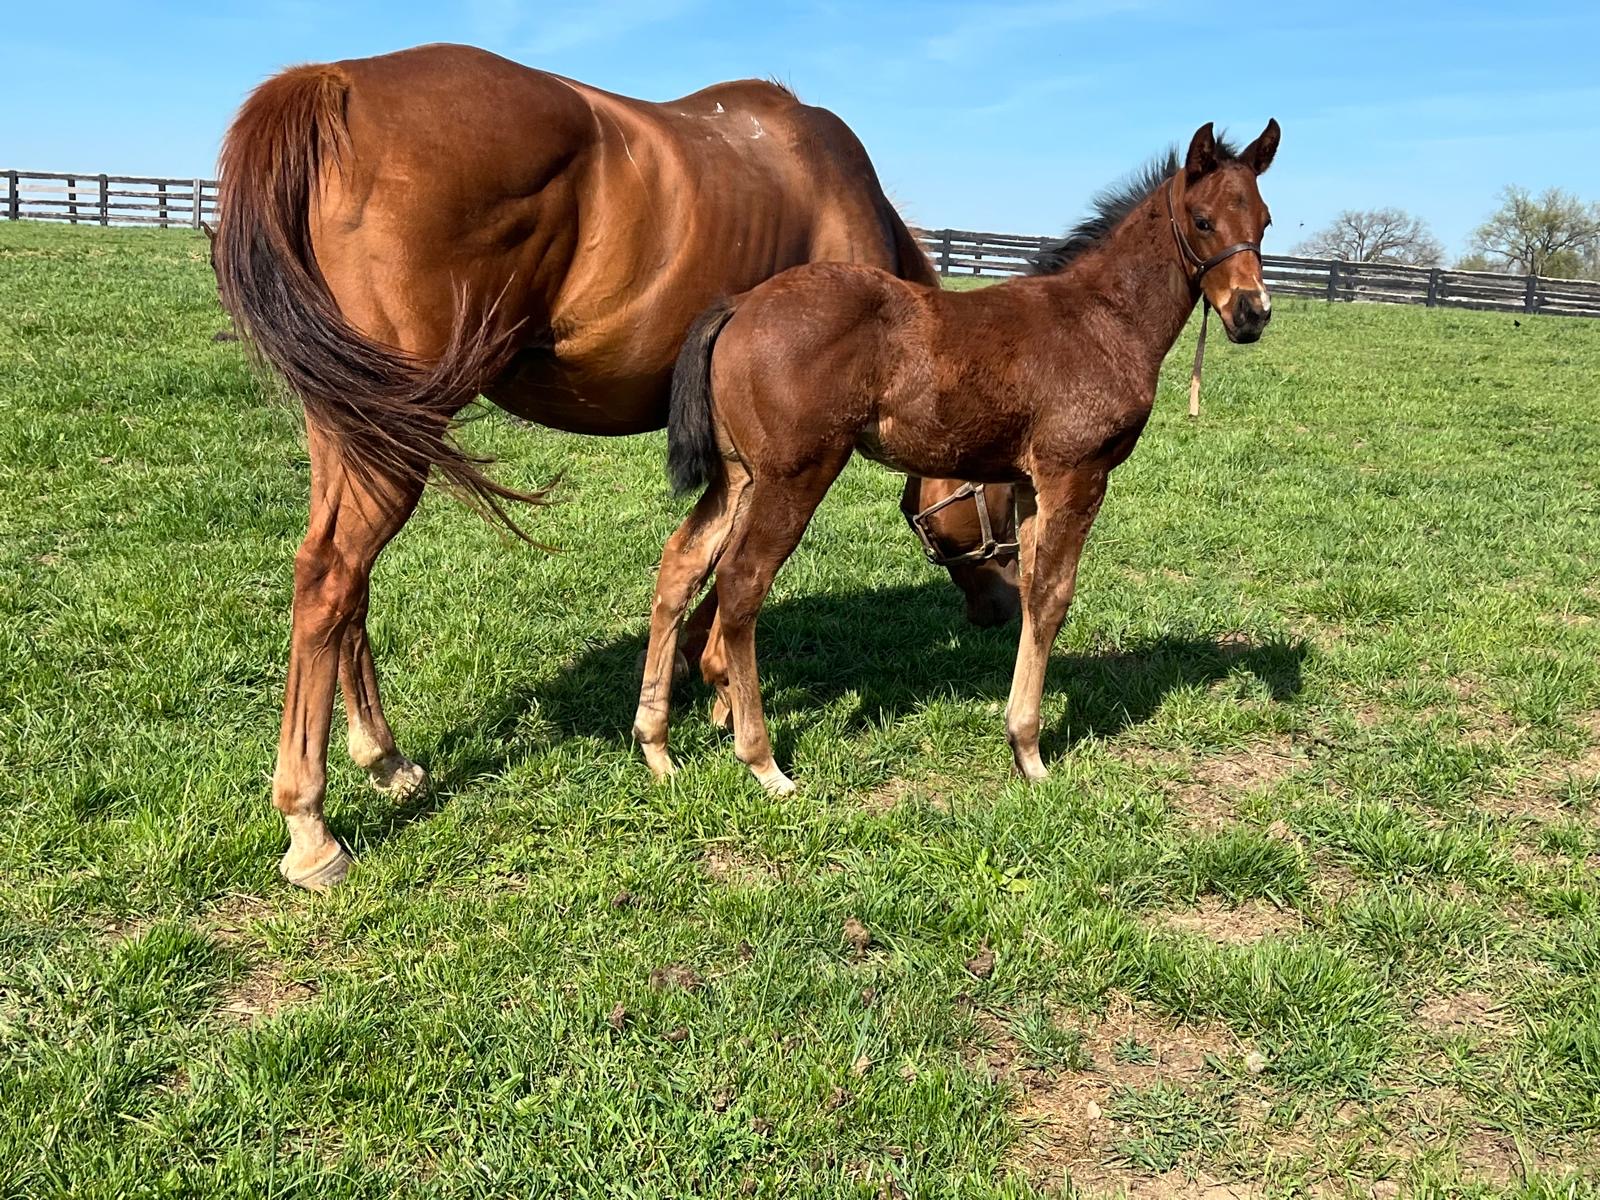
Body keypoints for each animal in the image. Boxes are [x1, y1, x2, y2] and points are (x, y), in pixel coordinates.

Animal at [211, 43, 1018, 890]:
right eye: (1004, 488)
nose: (1003, 604)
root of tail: (335, 82)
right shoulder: (786, 455)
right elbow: (730, 574)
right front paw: (720, 686)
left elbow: (701, 562)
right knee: (331, 576)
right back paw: (310, 824)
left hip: (355, 425)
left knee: (343, 582)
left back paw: (385, 759)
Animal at [632, 120, 1279, 792]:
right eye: (1202, 220)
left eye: (1265, 221)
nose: (1252, 314)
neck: (1103, 319)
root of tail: (739, 305)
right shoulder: (1077, 473)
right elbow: (1054, 596)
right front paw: (1030, 752)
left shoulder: (1030, 484)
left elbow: (1030, 591)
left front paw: (1021, 739)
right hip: (795, 474)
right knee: (740, 583)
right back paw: (763, 762)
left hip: (740, 477)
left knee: (682, 562)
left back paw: (656, 745)